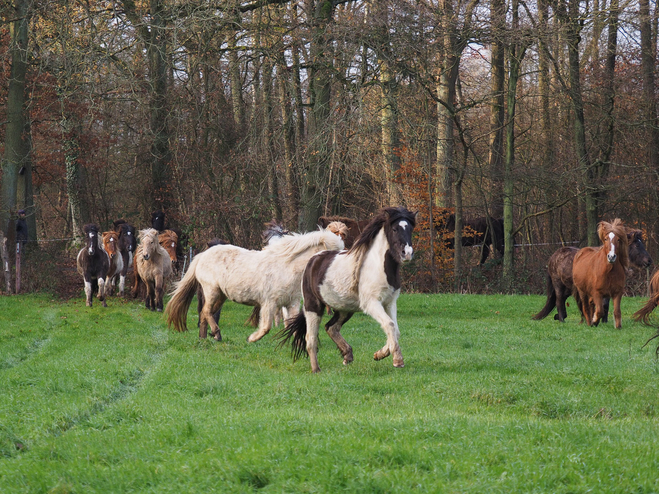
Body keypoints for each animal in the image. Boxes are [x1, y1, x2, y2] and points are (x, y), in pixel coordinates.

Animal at [166, 229, 346, 342]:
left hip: (221, 296)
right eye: (333, 253)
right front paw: (251, 338)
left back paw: (205, 338)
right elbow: (266, 327)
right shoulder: (269, 303)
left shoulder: (291, 304)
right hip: (212, 291)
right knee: (206, 311)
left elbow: (292, 326)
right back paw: (216, 334)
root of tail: (202, 255)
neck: (287, 267)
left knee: (206, 314)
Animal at [278, 206, 418, 372]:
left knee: (331, 327)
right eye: (395, 229)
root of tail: (314, 259)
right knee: (310, 338)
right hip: (313, 306)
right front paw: (397, 360)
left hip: (344, 309)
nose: (407, 254)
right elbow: (389, 325)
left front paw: (379, 354)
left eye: (410, 229)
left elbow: (396, 330)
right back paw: (316, 369)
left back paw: (347, 356)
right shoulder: (372, 303)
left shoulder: (390, 302)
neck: (378, 267)